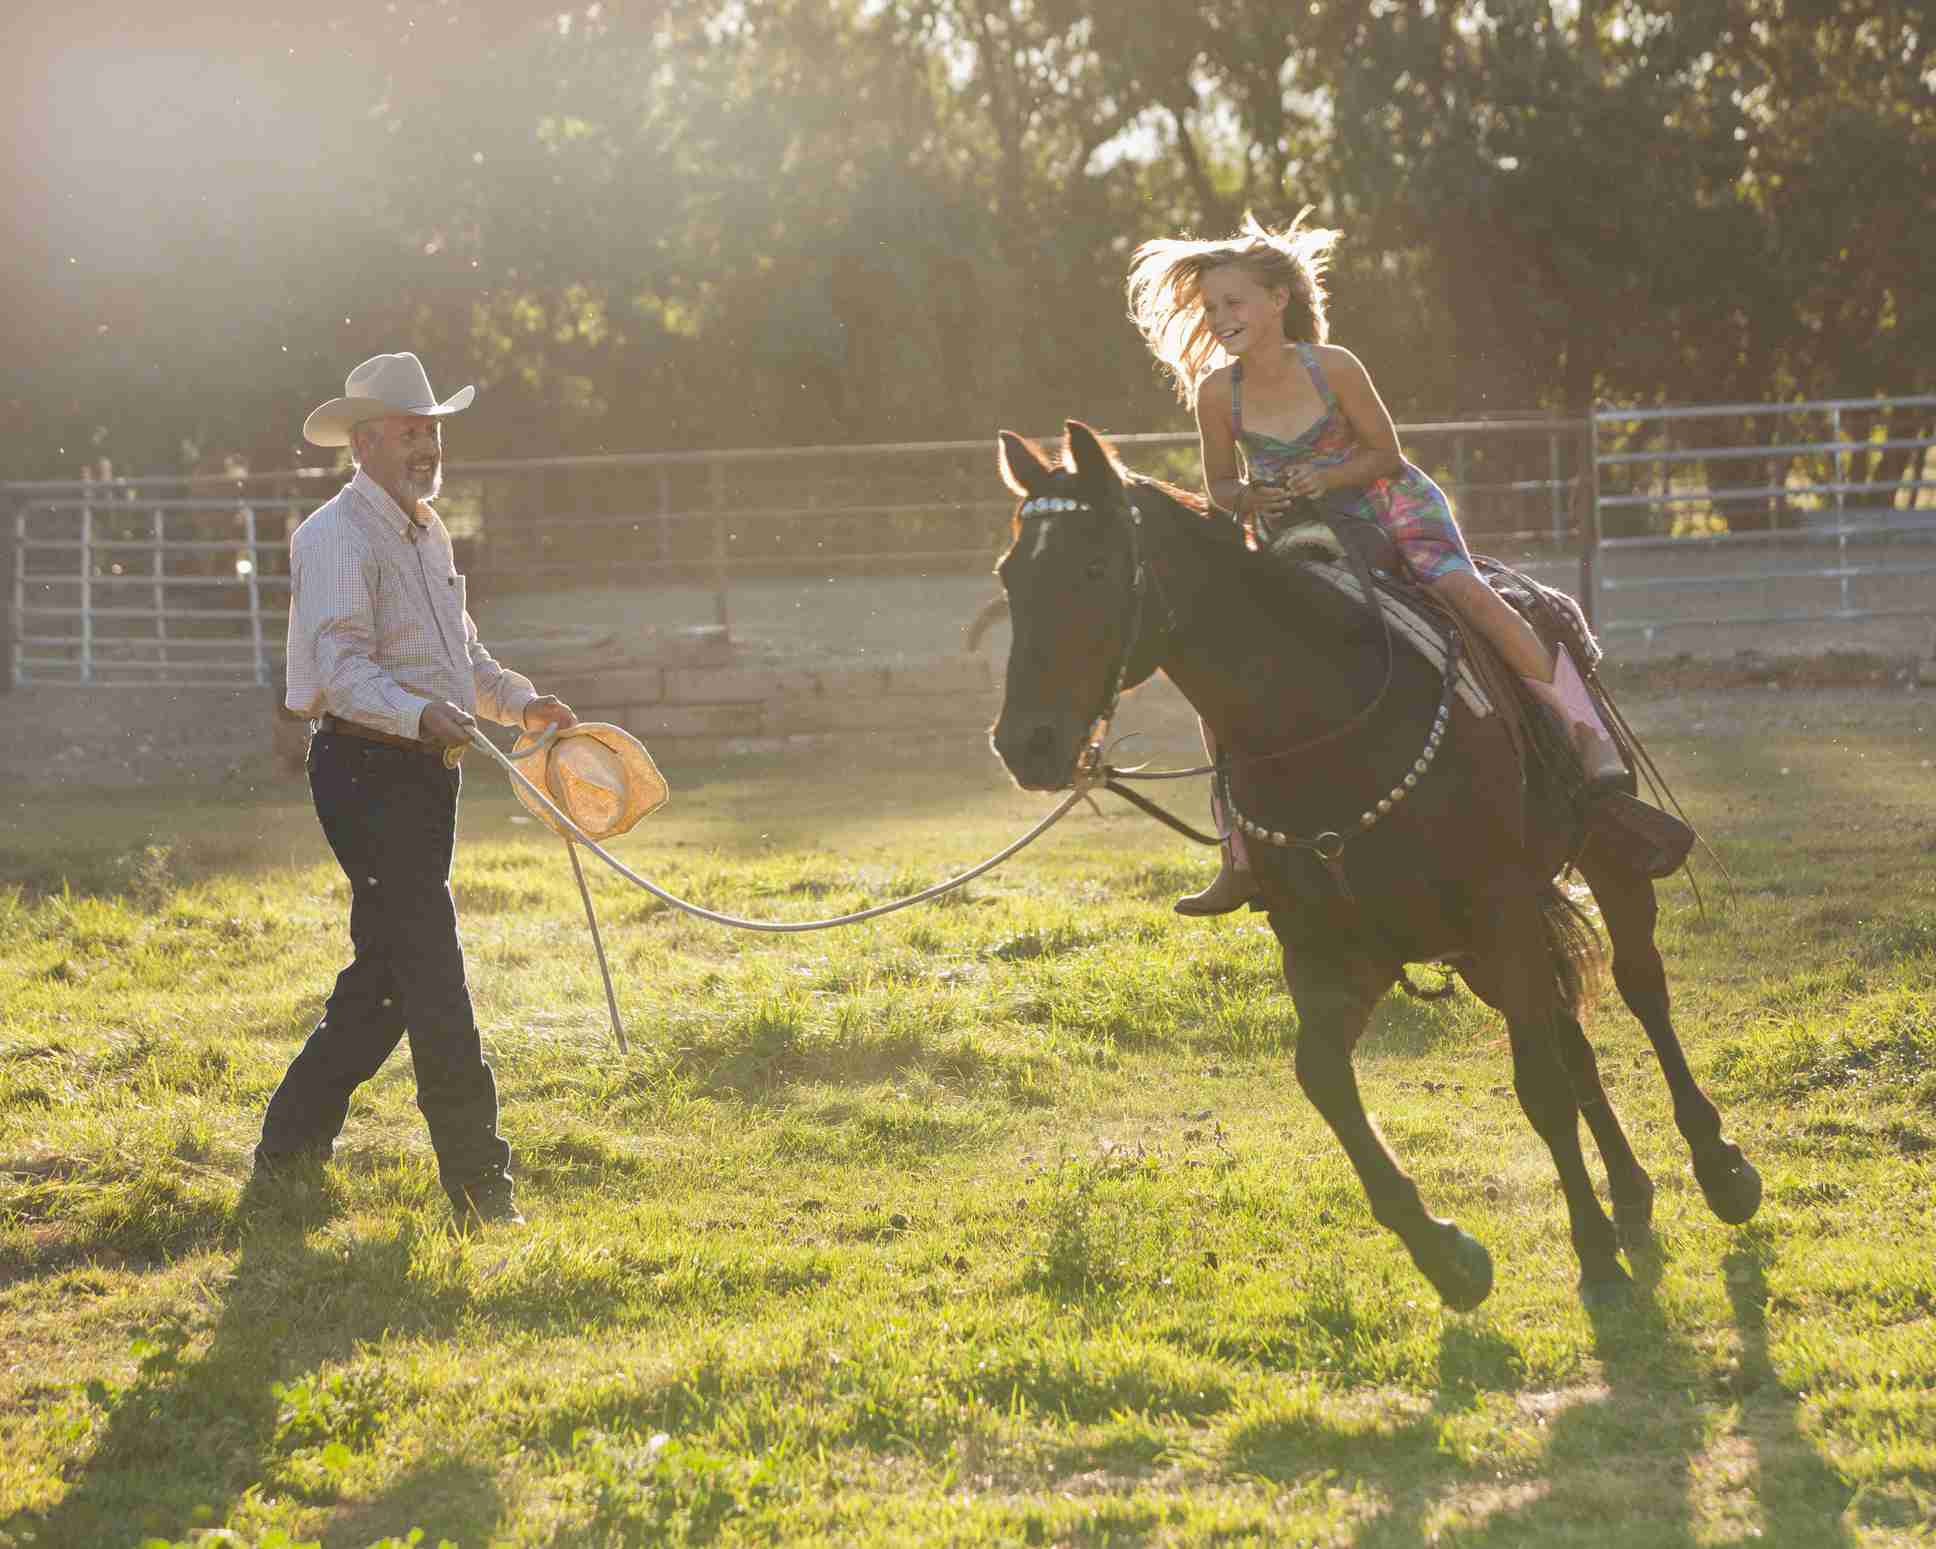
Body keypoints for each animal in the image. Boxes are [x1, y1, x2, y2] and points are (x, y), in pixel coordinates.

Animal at [991, 420, 1765, 1308]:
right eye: (1011, 574)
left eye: (1093, 567)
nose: (1026, 743)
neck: (1322, 726)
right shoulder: (1334, 951)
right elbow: (1325, 1078)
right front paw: (1449, 1254)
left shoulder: (1496, 910)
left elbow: (1537, 1085)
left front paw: (1593, 1255)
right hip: (1484, 948)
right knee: (1570, 1033)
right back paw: (1632, 1193)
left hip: (1594, 869)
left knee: (1640, 987)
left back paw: (1720, 1168)